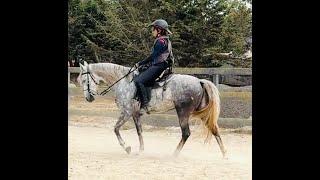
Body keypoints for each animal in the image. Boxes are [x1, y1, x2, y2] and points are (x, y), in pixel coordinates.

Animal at [77, 61, 226, 157]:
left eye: (84, 80)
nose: (88, 98)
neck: (124, 82)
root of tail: (199, 81)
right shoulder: (135, 114)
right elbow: (139, 131)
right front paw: (141, 150)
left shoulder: (126, 112)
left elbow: (116, 129)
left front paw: (127, 148)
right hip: (203, 115)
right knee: (215, 130)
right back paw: (225, 155)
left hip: (183, 113)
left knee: (186, 133)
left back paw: (174, 154)